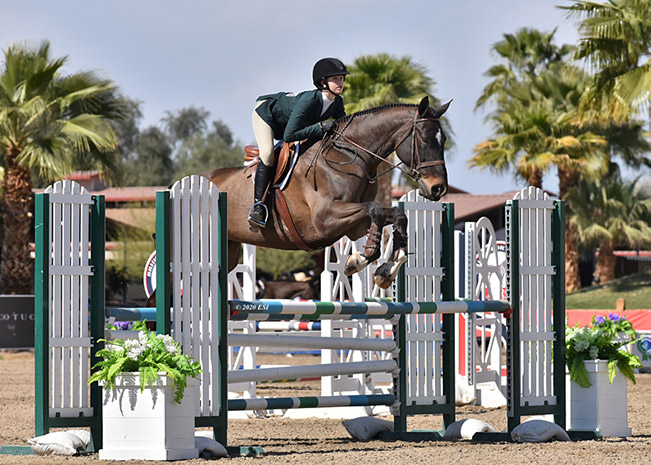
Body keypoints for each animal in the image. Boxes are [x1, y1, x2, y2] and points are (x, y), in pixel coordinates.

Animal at [206, 96, 450, 288]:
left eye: (444, 140)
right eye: (425, 138)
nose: (438, 188)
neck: (349, 156)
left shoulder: (355, 225)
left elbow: (396, 215)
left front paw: (386, 271)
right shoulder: (324, 220)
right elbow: (376, 209)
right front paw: (358, 260)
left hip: (230, 249)